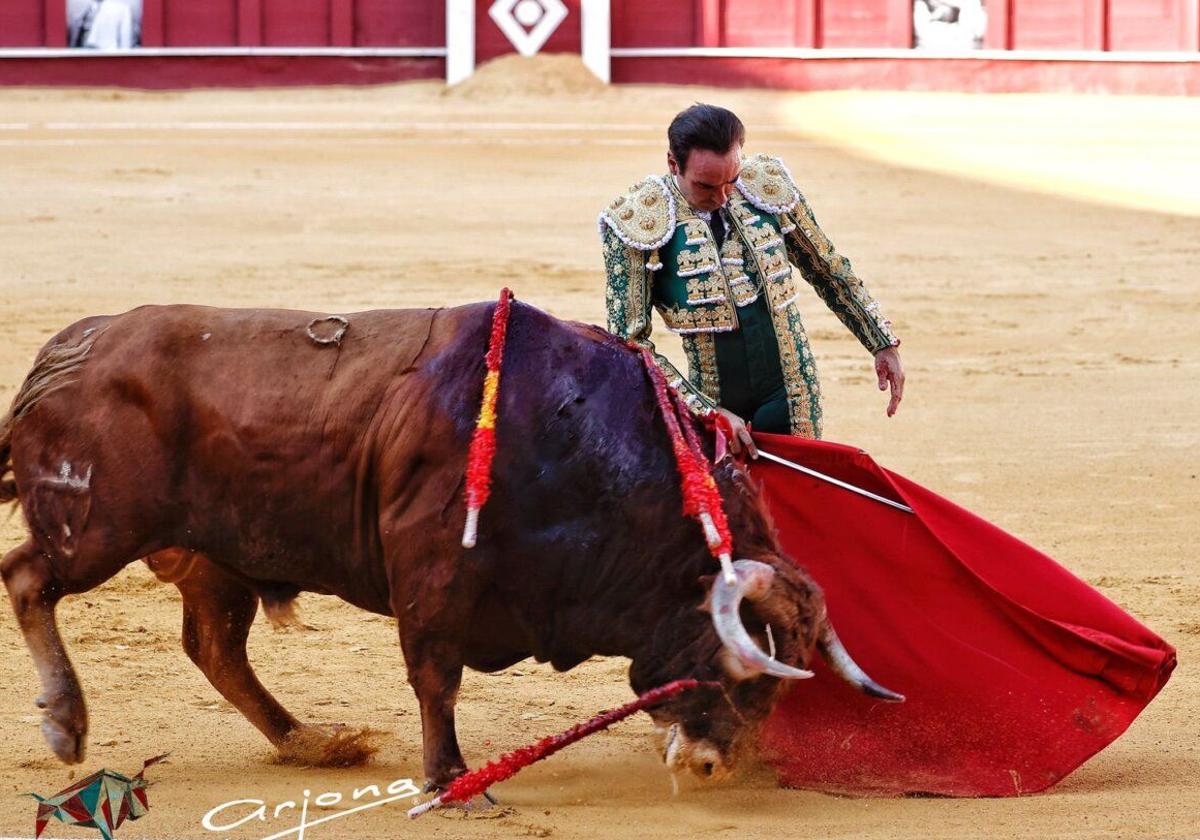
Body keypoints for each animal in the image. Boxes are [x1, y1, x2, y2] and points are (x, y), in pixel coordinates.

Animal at [0, 302, 902, 792]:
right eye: (742, 667)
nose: (714, 766)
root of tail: (72, 347)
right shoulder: (429, 570)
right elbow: (437, 676)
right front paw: (453, 779)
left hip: (214, 559)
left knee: (215, 647)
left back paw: (311, 742)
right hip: (99, 529)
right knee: (27, 575)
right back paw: (66, 724)